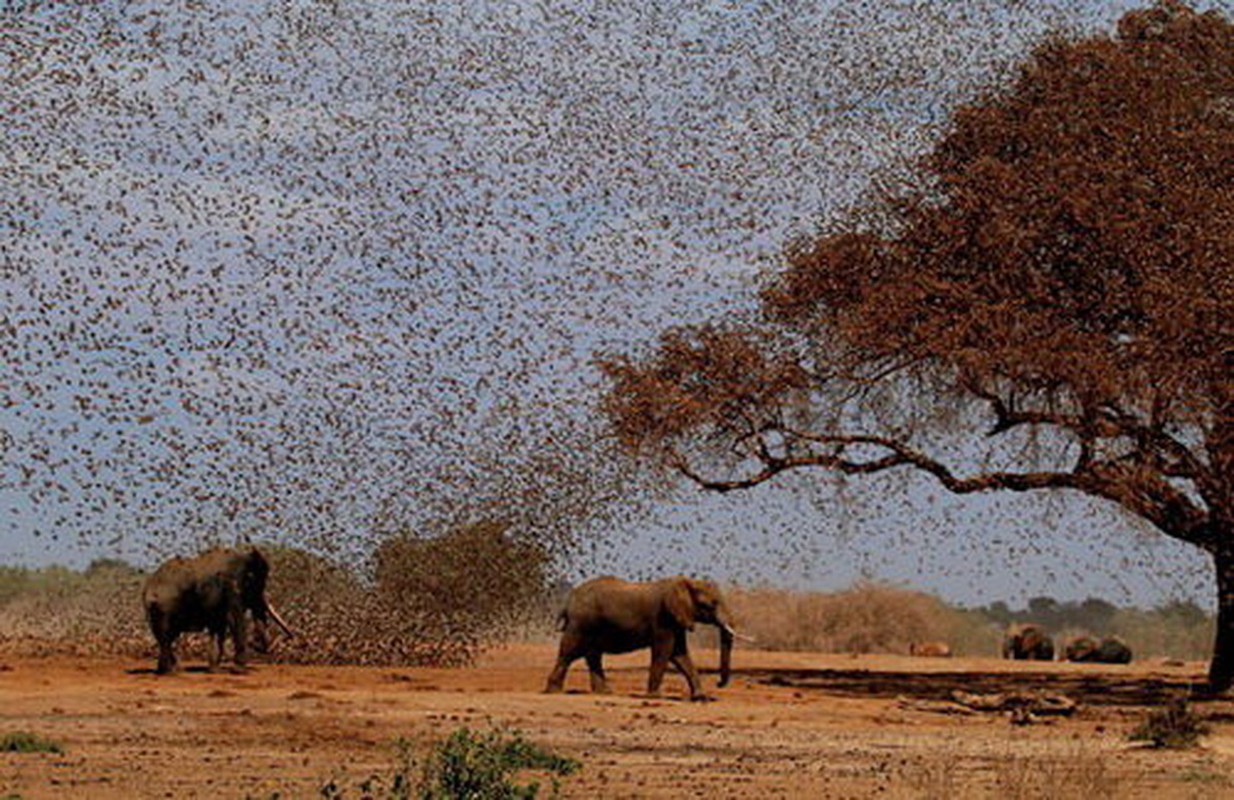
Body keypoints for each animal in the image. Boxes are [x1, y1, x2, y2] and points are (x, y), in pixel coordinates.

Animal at [141, 545, 293, 671]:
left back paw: (171, 669)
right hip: (164, 606)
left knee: (165, 635)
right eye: (258, 584)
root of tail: (149, 586)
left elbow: (219, 625)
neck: (243, 558)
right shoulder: (231, 587)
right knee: (166, 635)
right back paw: (171, 672)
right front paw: (239, 669)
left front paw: (215, 670)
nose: (255, 644)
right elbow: (234, 619)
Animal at [547, 575, 740, 701]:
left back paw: (604, 693)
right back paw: (554, 691)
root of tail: (569, 600)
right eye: (711, 605)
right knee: (569, 653)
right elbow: (664, 652)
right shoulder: (663, 619)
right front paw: (654, 697)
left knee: (592, 655)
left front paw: (701, 697)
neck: (684, 582)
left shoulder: (676, 621)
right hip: (581, 623)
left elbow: (680, 655)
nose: (718, 683)